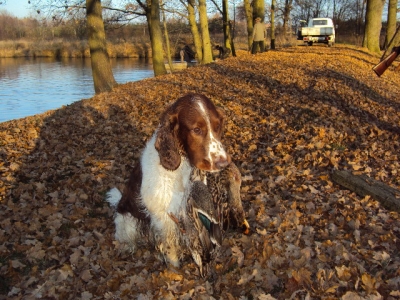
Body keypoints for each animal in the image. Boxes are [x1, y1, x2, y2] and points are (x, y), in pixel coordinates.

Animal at [105, 94, 231, 268]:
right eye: (196, 130)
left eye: (218, 126)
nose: (224, 163)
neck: (182, 168)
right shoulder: (163, 216)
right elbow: (170, 246)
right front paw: (174, 268)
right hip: (129, 220)